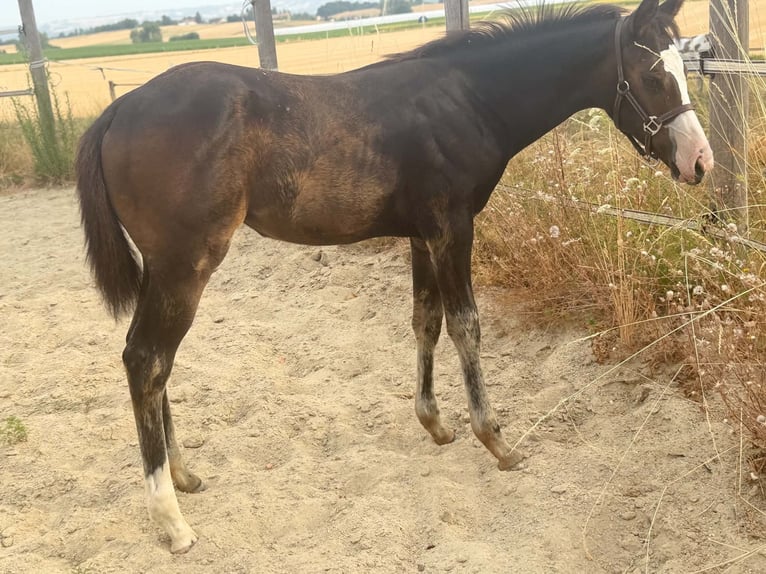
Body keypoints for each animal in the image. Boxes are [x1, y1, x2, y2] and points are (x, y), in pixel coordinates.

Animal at [76, 0, 713, 553]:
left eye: (684, 68)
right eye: (653, 77)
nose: (699, 162)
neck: (468, 99)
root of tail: (118, 111)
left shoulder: (420, 234)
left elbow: (424, 320)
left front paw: (435, 424)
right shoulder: (452, 227)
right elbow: (465, 325)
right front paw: (496, 440)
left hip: (165, 268)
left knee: (155, 363)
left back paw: (184, 476)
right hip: (185, 265)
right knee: (146, 359)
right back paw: (172, 520)